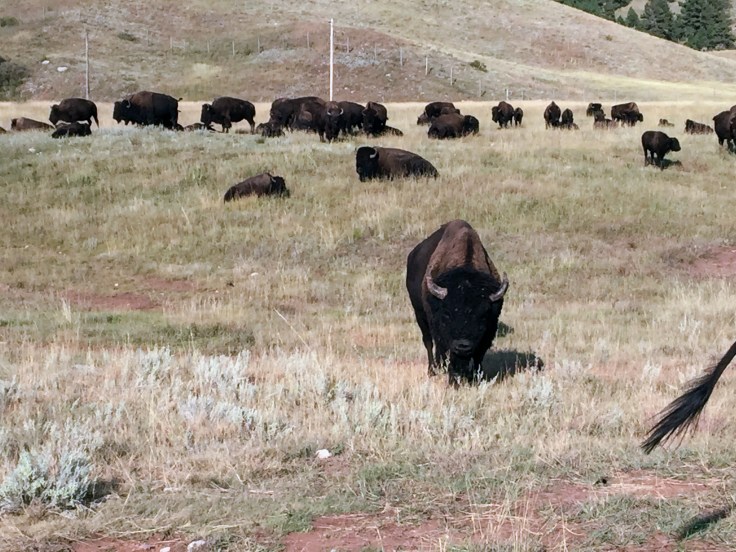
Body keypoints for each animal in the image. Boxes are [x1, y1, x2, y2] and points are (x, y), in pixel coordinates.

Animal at [406, 219, 509, 385]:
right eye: (447, 314)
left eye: (483, 316)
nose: (463, 346)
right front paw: (453, 379)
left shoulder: (487, 332)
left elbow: (478, 357)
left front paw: (474, 378)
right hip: (419, 314)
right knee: (428, 342)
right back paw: (432, 370)